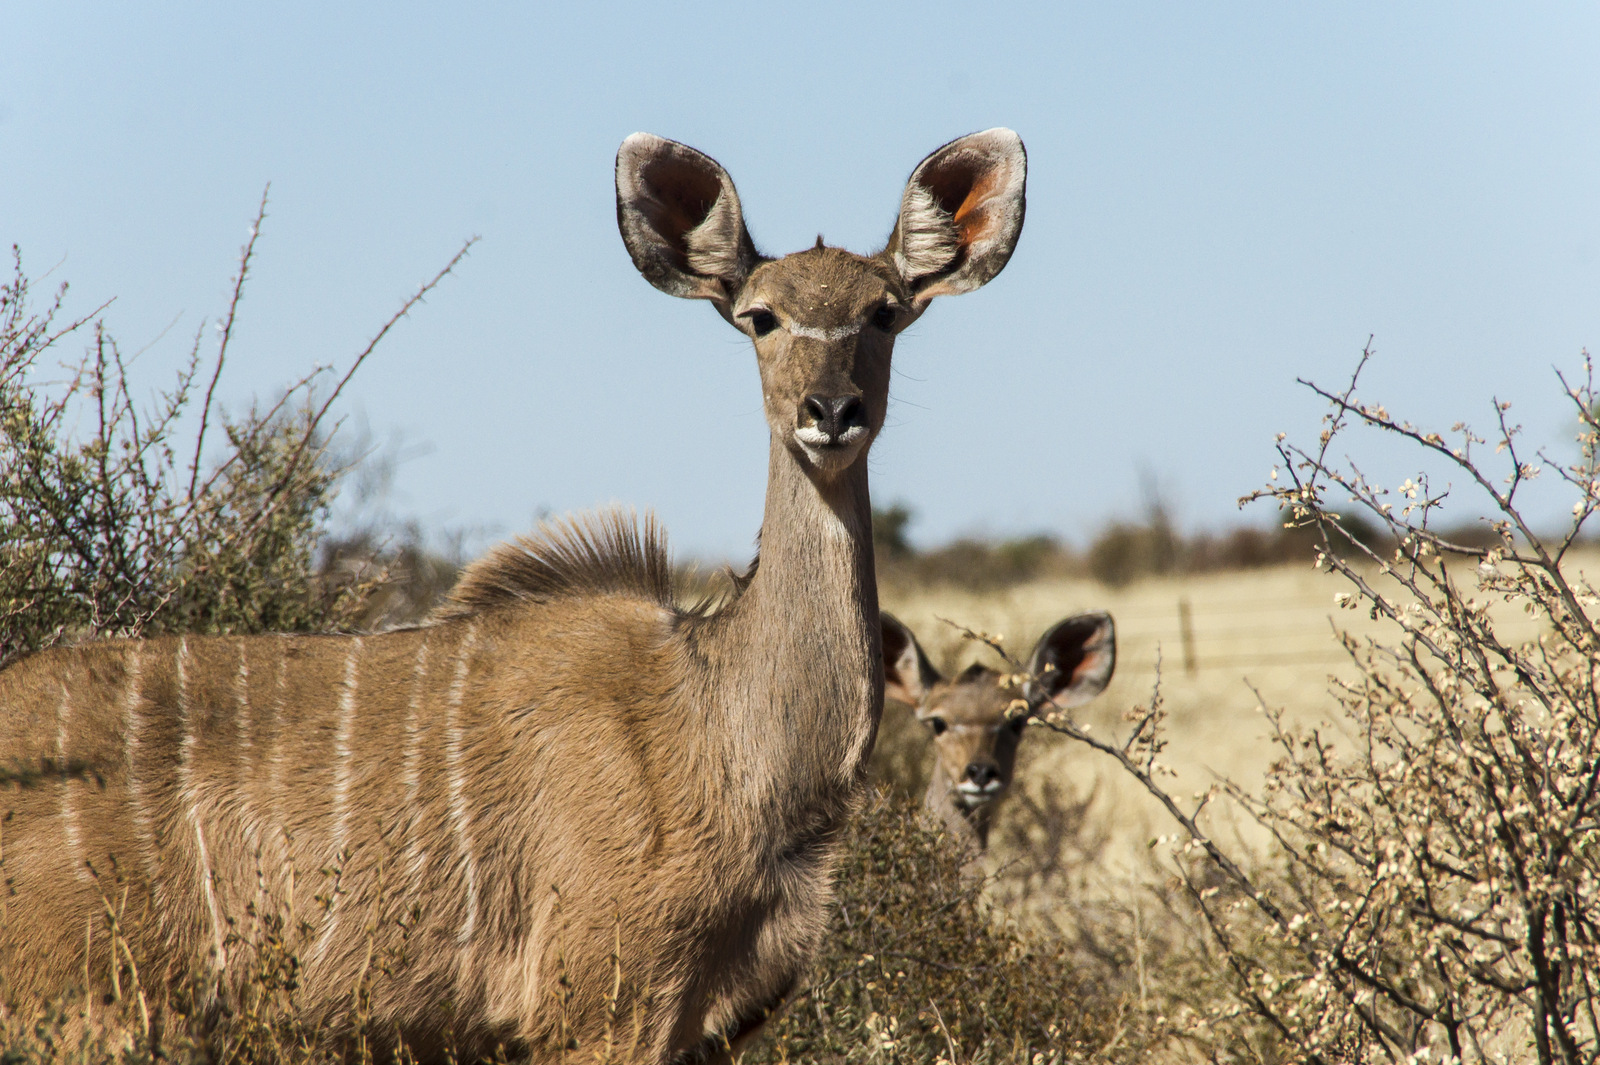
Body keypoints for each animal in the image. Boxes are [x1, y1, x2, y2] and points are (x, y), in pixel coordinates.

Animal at [0, 132, 1024, 1061]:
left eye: (884, 313)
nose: (831, 414)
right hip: (84, 1012)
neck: (720, 722)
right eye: (762, 318)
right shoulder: (602, 1007)